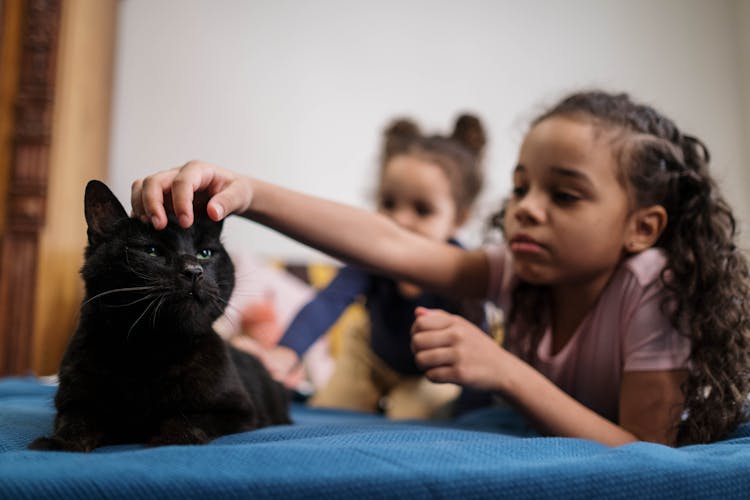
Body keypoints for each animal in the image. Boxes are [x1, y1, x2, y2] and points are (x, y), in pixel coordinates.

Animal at [29, 181, 290, 454]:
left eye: (205, 253)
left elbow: (188, 418)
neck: (152, 350)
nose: (194, 271)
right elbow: (76, 421)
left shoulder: (237, 411)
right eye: (152, 251)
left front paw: (170, 441)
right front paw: (59, 444)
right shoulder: (73, 400)